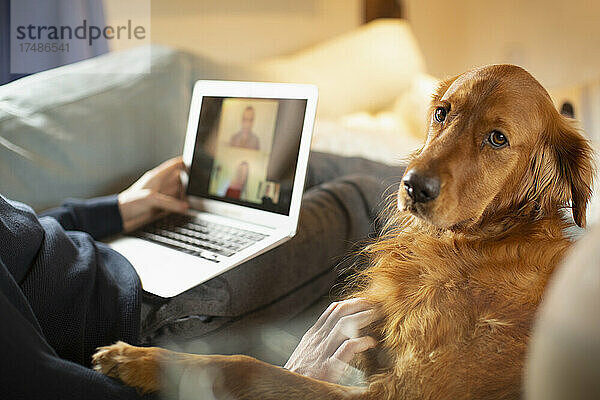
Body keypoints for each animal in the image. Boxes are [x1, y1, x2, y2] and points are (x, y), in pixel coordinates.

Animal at [91, 64, 592, 398]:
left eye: (497, 139)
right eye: (442, 113)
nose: (414, 186)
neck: (478, 245)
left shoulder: (401, 391)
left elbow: (244, 365)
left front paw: (138, 360)